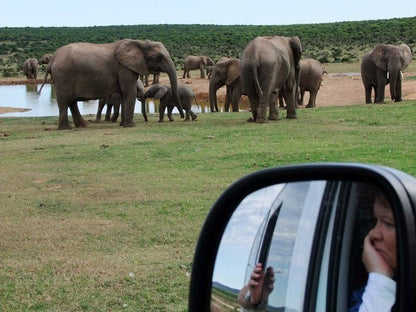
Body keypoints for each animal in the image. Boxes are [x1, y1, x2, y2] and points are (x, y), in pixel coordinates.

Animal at [38, 39, 184, 129]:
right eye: (159, 57)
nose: (182, 117)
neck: (140, 43)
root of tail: (53, 59)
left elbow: (124, 93)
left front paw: (123, 125)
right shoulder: (124, 67)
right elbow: (129, 92)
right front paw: (131, 126)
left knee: (71, 101)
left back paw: (82, 126)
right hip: (63, 75)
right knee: (65, 100)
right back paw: (66, 128)